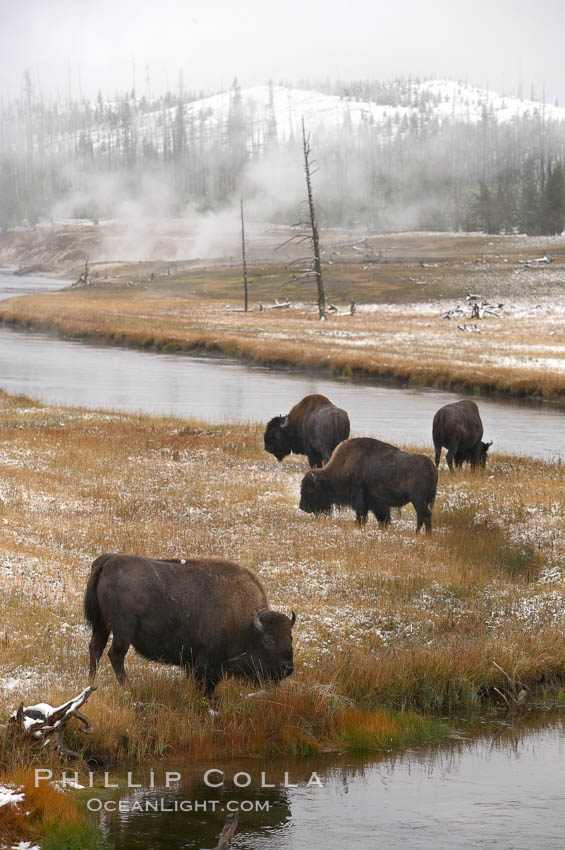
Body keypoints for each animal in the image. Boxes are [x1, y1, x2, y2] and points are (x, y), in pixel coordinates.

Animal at [85, 552, 296, 700]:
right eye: (268, 640)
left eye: (290, 638)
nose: (288, 668)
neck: (247, 625)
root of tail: (109, 559)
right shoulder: (209, 661)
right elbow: (207, 683)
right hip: (123, 630)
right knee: (115, 655)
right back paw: (127, 687)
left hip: (102, 625)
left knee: (95, 648)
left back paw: (91, 681)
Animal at [300, 438, 436, 528]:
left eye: (311, 490)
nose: (302, 507)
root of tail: (430, 465)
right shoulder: (379, 505)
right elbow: (383, 518)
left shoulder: (362, 501)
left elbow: (362, 517)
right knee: (422, 516)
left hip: (417, 500)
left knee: (424, 515)